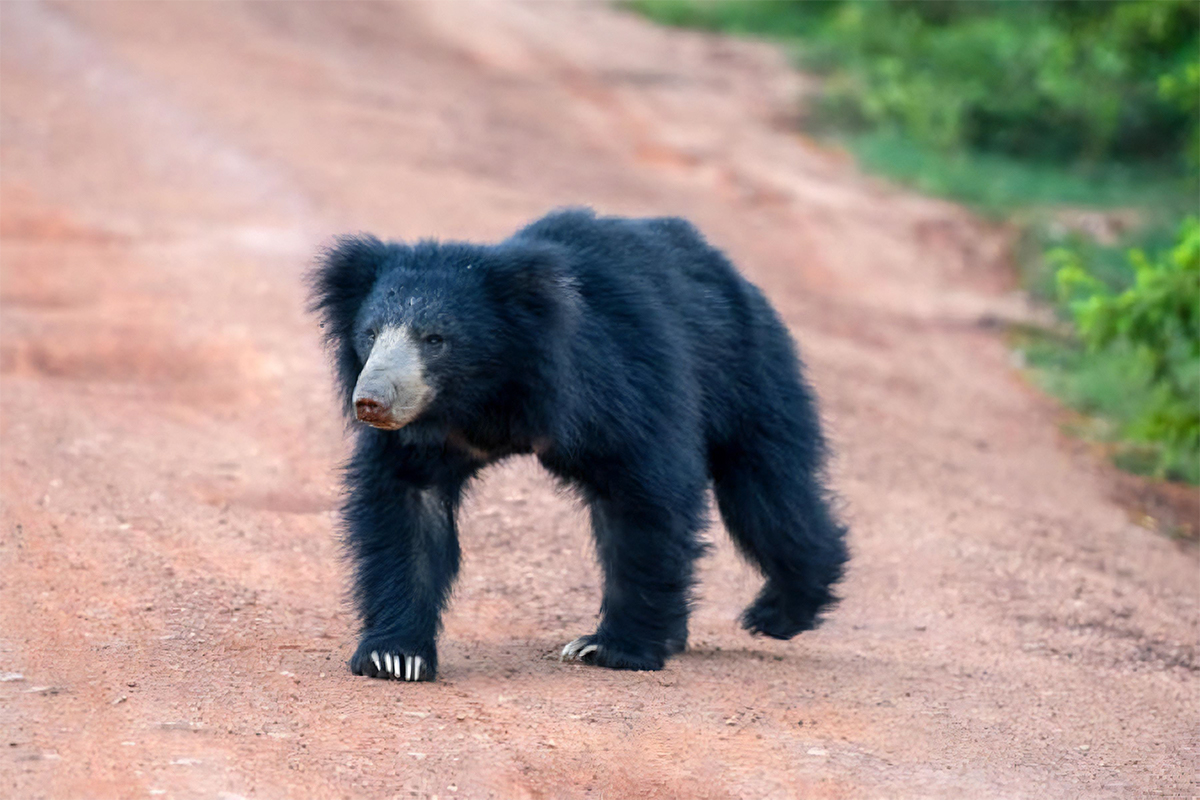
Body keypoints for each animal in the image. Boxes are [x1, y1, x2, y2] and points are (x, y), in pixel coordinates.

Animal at [314, 208, 849, 681]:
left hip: (748, 371)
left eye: (435, 339)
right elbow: (408, 509)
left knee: (767, 495)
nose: (371, 401)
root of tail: (728, 270)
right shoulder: (427, 435)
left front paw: (610, 648)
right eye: (371, 334)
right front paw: (394, 657)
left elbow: (646, 496)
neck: (487, 396)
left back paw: (780, 612)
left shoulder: (616, 384)